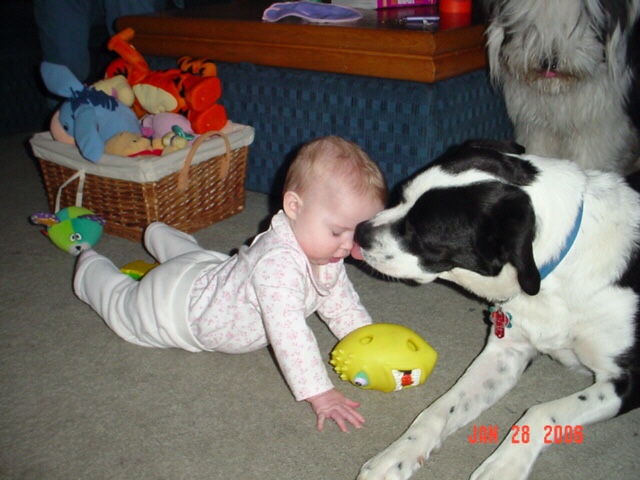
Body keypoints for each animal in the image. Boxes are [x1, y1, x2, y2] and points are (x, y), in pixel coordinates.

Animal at [353, 140, 640, 479]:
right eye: (401, 196)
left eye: (421, 234)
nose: (358, 232)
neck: (553, 274)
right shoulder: (506, 352)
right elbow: (441, 407)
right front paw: (397, 454)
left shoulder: (629, 379)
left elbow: (541, 411)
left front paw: (504, 465)